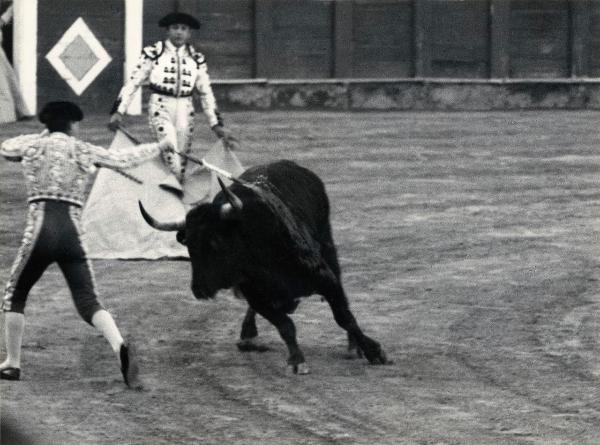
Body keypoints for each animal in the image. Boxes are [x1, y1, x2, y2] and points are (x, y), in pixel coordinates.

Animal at [138, 158, 386, 372]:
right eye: (189, 245)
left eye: (216, 241)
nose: (198, 289)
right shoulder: (256, 296)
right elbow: (285, 325)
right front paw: (297, 360)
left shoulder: (326, 279)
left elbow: (344, 316)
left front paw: (373, 351)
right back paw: (247, 336)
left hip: (328, 245)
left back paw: (353, 346)